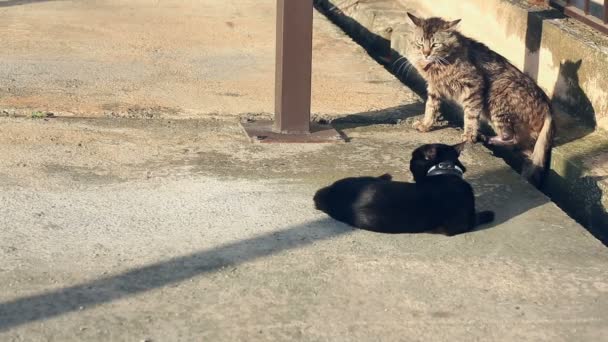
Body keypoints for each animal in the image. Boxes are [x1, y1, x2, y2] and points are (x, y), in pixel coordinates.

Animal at [314, 142, 494, 235]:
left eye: (413, 160)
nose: (409, 160)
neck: (445, 172)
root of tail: (329, 195)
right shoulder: (462, 224)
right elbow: (482, 216)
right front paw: (489, 213)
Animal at [406, 13, 552, 186]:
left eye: (435, 45)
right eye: (420, 43)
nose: (426, 53)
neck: (440, 63)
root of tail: (548, 105)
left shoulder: (474, 86)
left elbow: (470, 115)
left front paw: (469, 135)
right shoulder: (434, 89)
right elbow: (430, 107)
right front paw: (426, 124)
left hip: (496, 98)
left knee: (512, 137)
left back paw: (487, 138)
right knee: (527, 152)